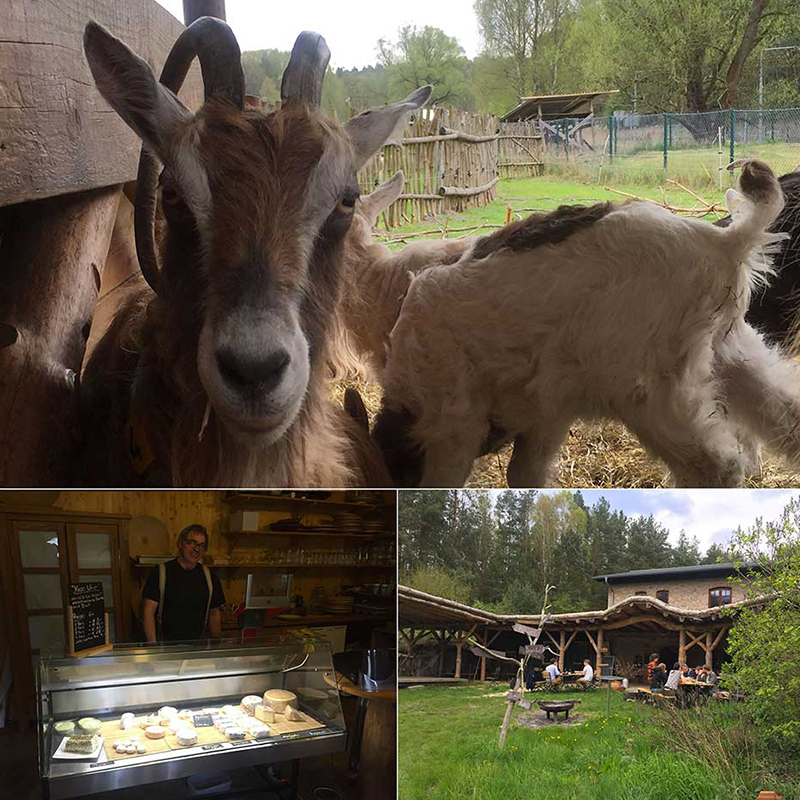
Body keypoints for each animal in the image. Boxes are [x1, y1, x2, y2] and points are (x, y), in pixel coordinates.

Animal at [374, 161, 800, 488]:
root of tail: (723, 240)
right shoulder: (546, 414)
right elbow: (524, 475)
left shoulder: (455, 425)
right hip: (729, 349)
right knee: (786, 415)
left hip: (652, 388)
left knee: (718, 467)